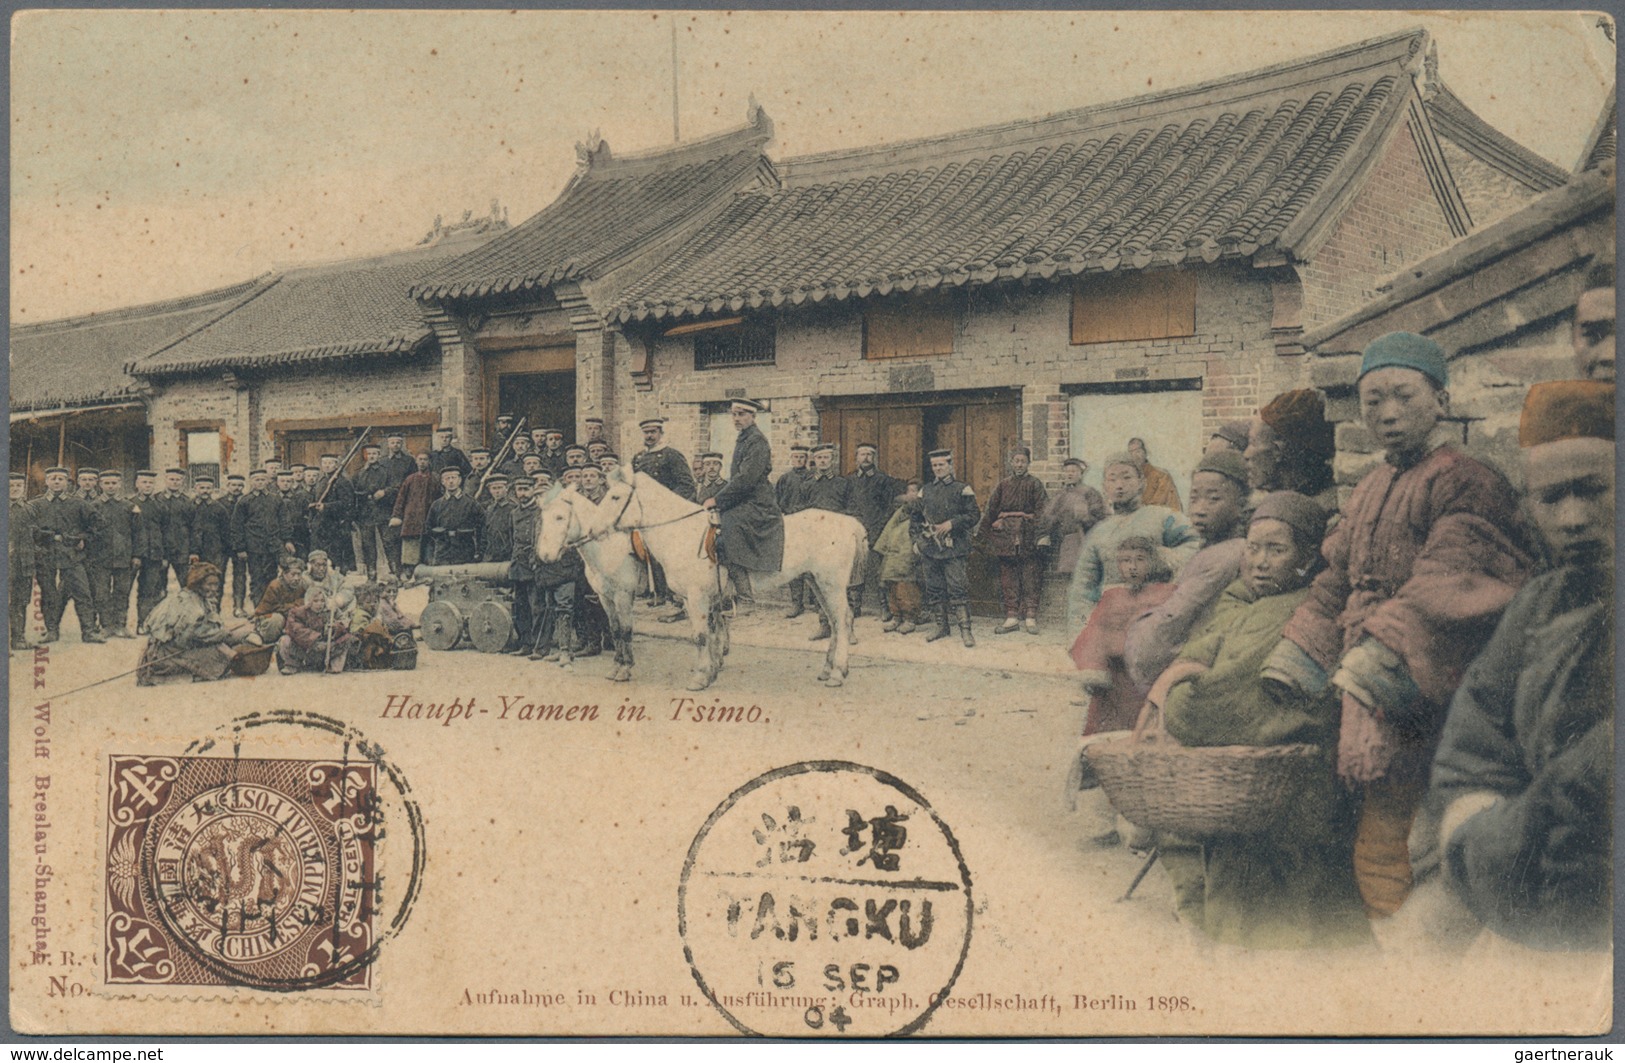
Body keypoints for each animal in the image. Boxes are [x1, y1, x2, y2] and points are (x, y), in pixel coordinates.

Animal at [526, 490, 640, 682]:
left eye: (560, 517)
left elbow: (625, 630)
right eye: (543, 517)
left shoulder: (623, 595)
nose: (545, 554)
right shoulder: (606, 597)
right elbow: (616, 629)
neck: (608, 548)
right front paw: (616, 666)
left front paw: (626, 668)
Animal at [601, 468, 877, 692]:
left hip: (831, 584)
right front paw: (711, 671)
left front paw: (699, 678)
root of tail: (849, 523)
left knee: (842, 621)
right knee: (835, 621)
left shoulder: (697, 597)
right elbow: (712, 633)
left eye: (615, 497)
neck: (682, 532)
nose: (596, 527)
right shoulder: (703, 599)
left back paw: (838, 673)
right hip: (817, 582)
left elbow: (700, 636)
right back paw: (828, 669)